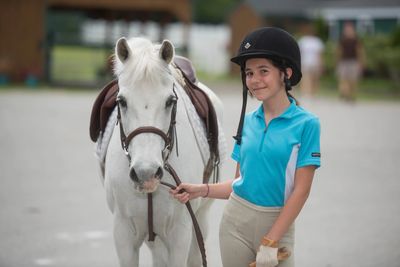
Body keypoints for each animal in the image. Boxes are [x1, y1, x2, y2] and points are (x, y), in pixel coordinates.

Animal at [100, 37, 225, 267]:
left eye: (170, 101)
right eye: (121, 101)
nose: (146, 173)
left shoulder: (180, 234)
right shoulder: (123, 234)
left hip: (201, 218)